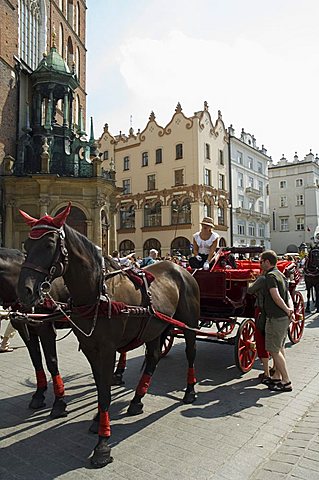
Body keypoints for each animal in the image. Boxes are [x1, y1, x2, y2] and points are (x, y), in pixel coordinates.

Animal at [0, 248, 69, 416]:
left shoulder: (46, 330)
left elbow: (51, 362)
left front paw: (59, 402)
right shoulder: (26, 331)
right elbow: (36, 360)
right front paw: (39, 394)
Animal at [16, 204, 200, 466]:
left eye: (50, 244)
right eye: (27, 245)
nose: (25, 291)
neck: (98, 293)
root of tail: (179, 268)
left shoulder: (107, 349)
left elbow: (104, 392)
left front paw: (102, 444)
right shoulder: (91, 349)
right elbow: (101, 387)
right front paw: (98, 421)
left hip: (189, 324)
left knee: (190, 353)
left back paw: (190, 391)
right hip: (155, 326)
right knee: (153, 358)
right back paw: (136, 400)